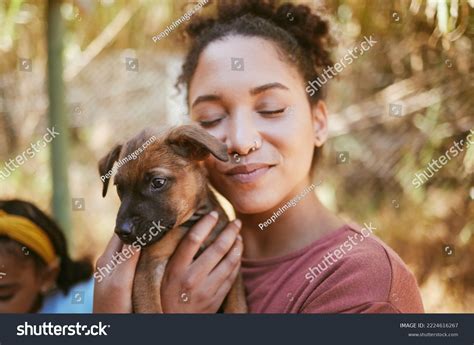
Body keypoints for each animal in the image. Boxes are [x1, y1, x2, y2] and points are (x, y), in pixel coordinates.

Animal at [99, 125, 248, 314]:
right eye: (119, 187)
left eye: (158, 182)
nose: (122, 231)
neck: (187, 225)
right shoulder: (149, 268)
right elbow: (151, 309)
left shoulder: (233, 270)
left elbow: (237, 306)